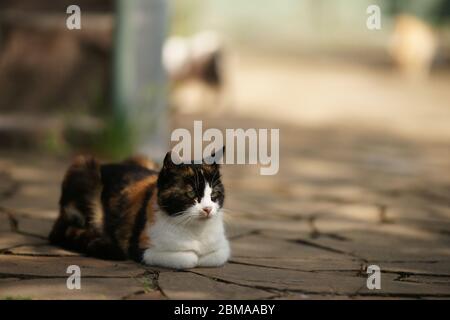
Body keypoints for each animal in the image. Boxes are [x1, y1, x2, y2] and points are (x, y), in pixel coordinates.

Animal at [48, 149, 230, 268]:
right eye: (191, 193)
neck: (196, 232)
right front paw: (193, 256)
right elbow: (190, 259)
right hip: (84, 167)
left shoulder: (223, 248)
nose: (208, 209)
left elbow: (217, 255)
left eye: (214, 193)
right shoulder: (142, 249)